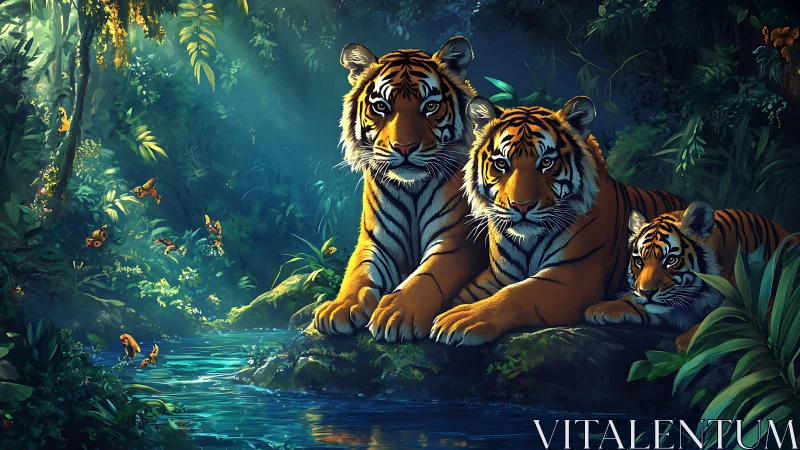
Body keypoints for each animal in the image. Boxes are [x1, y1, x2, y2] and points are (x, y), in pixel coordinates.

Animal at [312, 37, 487, 342]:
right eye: (381, 106)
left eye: (430, 106)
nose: (404, 148)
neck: (412, 188)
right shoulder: (374, 240)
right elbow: (357, 272)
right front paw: (340, 307)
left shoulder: (457, 240)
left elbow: (429, 273)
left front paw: (398, 312)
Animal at [429, 96, 687, 346]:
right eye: (501, 163)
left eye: (546, 162)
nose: (522, 206)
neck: (526, 241)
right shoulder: (494, 277)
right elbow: (464, 293)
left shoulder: (573, 276)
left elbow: (516, 294)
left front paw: (463, 318)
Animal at [584, 201, 796, 350]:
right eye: (639, 261)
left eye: (670, 260)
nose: (646, 292)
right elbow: (635, 303)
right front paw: (599, 309)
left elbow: (720, 315)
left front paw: (688, 341)